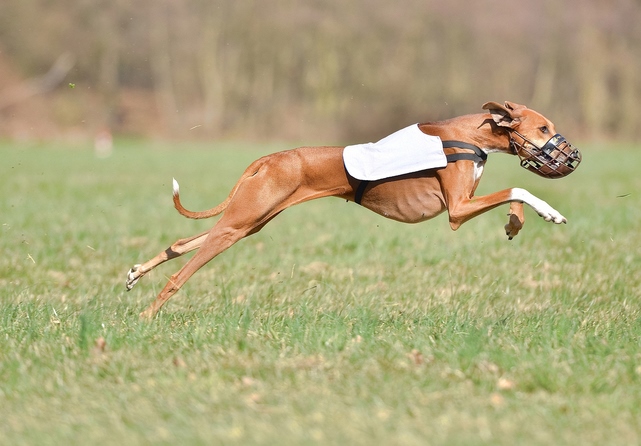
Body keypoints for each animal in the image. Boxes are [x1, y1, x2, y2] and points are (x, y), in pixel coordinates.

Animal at [126, 101, 581, 318]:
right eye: (543, 128)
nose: (573, 156)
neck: (469, 134)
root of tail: (270, 158)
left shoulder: (467, 201)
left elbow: (513, 195)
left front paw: (515, 224)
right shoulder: (457, 209)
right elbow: (519, 186)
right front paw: (550, 212)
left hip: (248, 221)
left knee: (182, 241)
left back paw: (135, 274)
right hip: (239, 223)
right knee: (181, 274)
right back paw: (147, 314)